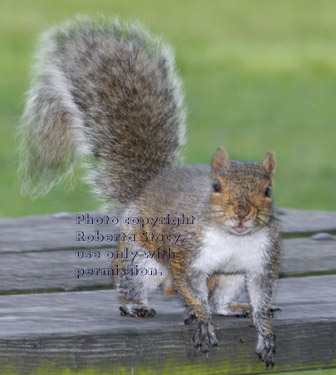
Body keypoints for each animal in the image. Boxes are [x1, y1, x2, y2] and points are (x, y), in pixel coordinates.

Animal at [18, 16, 280, 368]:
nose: (241, 212)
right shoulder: (186, 258)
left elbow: (262, 298)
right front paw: (202, 322)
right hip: (140, 258)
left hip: (232, 277)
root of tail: (145, 191)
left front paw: (264, 329)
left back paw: (235, 308)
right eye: (216, 186)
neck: (232, 238)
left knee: (220, 299)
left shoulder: (261, 264)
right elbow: (194, 295)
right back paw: (137, 305)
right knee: (133, 284)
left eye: (267, 190)